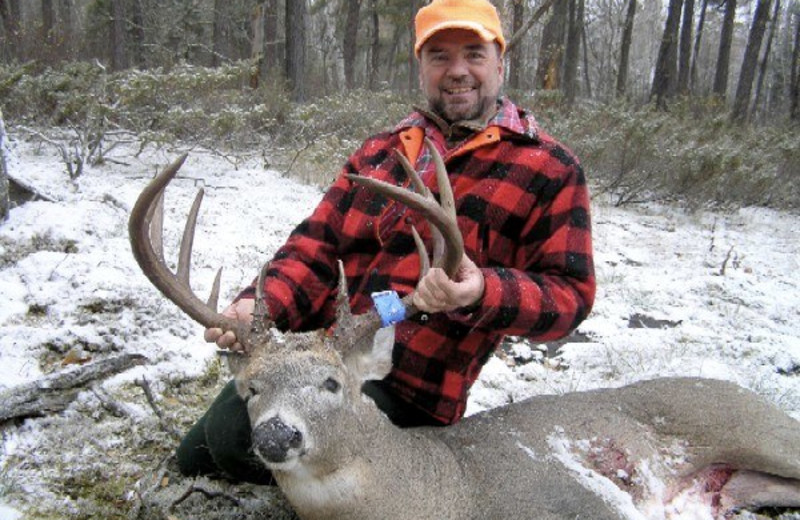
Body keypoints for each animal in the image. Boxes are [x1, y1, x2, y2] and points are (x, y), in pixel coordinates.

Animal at [131, 148, 800, 516]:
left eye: (332, 384)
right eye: (251, 389)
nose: (274, 435)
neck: (444, 494)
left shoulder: (580, 498)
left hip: (757, 426)